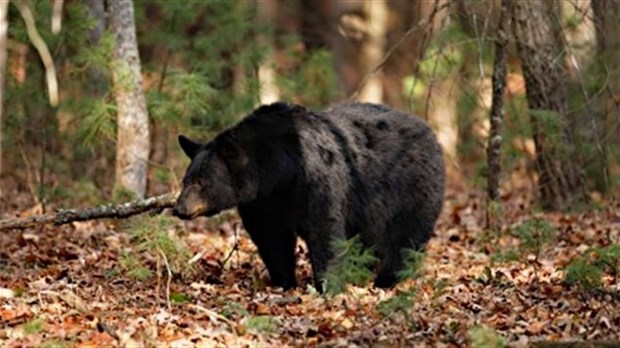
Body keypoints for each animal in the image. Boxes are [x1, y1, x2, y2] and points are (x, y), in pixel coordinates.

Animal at [173, 102, 446, 290]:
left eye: (201, 182)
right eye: (186, 179)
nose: (179, 208)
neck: (278, 172)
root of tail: (430, 131)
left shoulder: (315, 178)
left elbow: (324, 229)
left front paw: (327, 284)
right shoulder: (262, 203)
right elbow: (271, 236)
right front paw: (284, 281)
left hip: (412, 187)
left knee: (405, 236)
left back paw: (387, 279)